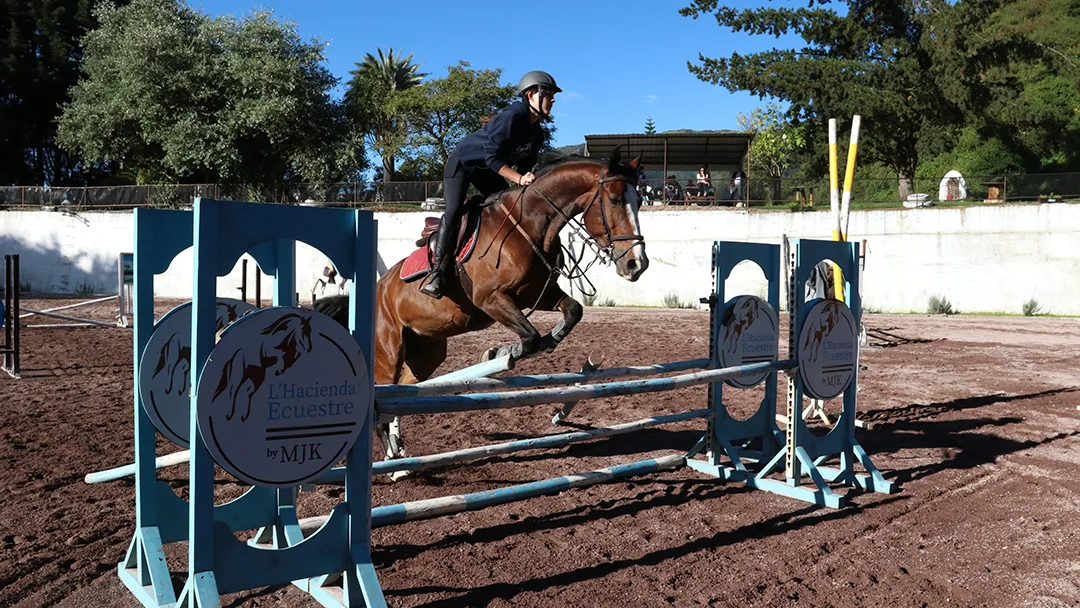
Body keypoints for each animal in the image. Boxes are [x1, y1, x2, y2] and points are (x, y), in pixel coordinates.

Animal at [315, 147, 648, 466]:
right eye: (615, 200)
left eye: (640, 201)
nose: (637, 264)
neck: (529, 224)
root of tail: (379, 289)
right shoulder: (491, 299)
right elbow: (529, 337)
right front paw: (499, 353)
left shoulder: (537, 295)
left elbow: (572, 311)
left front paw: (541, 343)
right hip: (388, 351)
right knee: (382, 398)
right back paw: (394, 464)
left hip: (427, 353)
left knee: (403, 393)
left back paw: (400, 454)